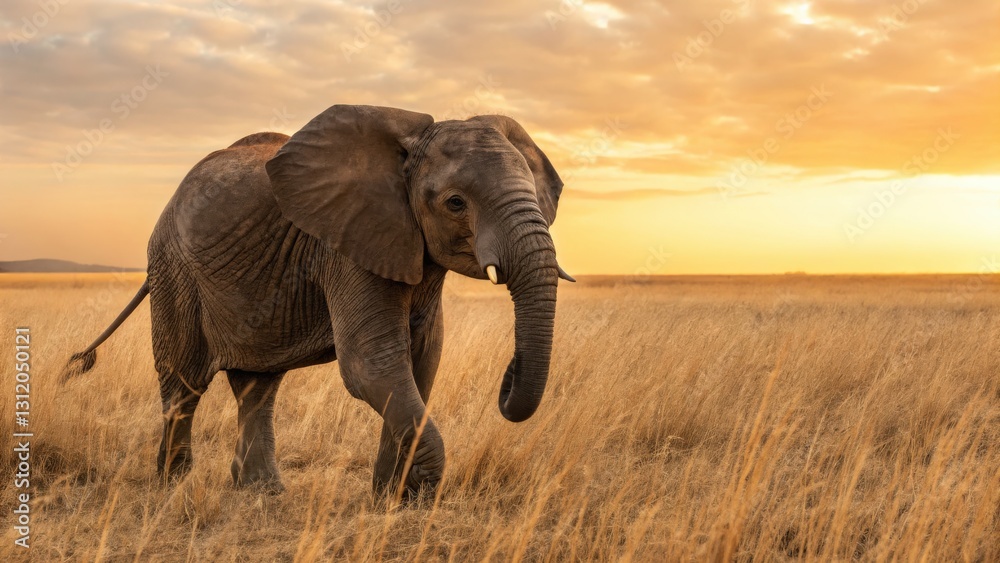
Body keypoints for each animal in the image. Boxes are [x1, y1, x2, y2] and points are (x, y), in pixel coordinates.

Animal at [63, 104, 573, 497]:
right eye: (455, 203)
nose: (509, 375)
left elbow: (422, 361)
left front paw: (390, 499)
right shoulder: (346, 245)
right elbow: (372, 365)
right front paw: (417, 495)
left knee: (257, 386)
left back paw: (260, 492)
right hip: (174, 269)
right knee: (183, 381)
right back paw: (174, 486)